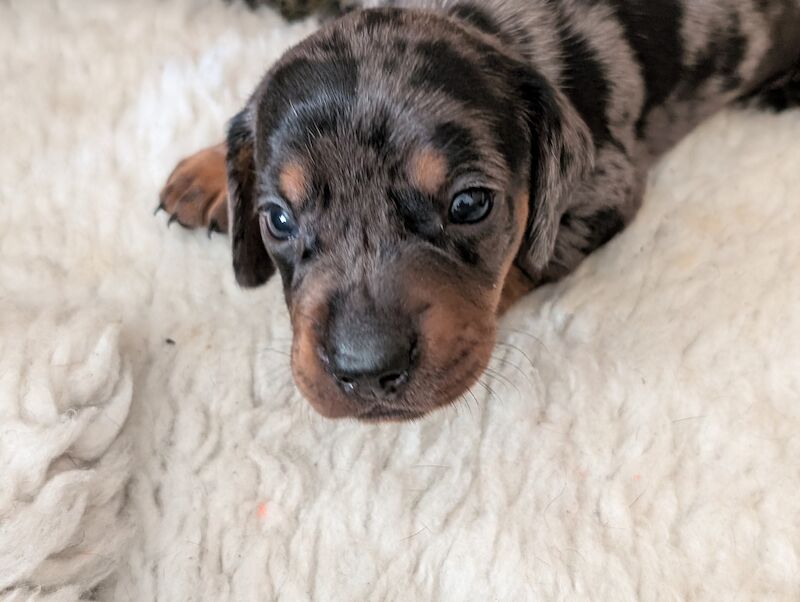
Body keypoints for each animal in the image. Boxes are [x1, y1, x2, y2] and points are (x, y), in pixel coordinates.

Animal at [161, 0, 800, 420]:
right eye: (278, 219)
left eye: (469, 204)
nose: (366, 371)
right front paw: (208, 170)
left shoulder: (607, 186)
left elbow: (524, 263)